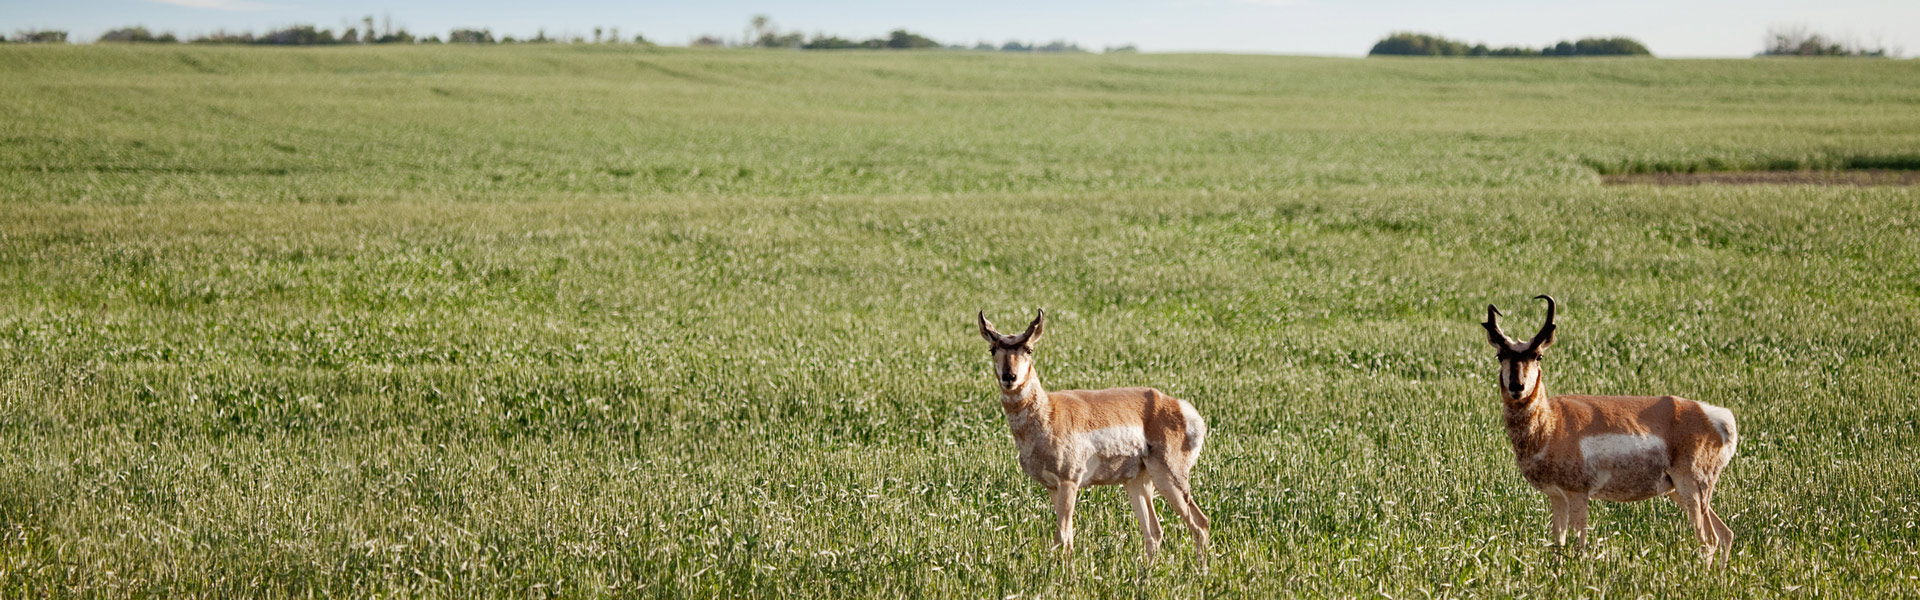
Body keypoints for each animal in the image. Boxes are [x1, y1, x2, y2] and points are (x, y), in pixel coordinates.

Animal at [983, 311, 1205, 565]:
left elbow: (1063, 537)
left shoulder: (1069, 481)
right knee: (1154, 533)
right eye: (993, 349)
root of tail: (1181, 407)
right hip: (1138, 482)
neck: (1049, 411)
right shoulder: (1052, 486)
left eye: (1029, 349)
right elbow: (1066, 537)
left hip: (1169, 478)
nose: (1009, 377)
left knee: (1200, 524)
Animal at [1482, 296, 1743, 561]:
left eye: (1538, 355)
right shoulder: (1557, 497)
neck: (1553, 422)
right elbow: (1558, 545)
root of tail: (1719, 417)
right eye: (1500, 355)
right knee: (1726, 534)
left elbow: (1579, 546)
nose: (1517, 386)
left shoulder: (1578, 495)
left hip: (1691, 488)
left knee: (1709, 540)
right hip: (1680, 492)